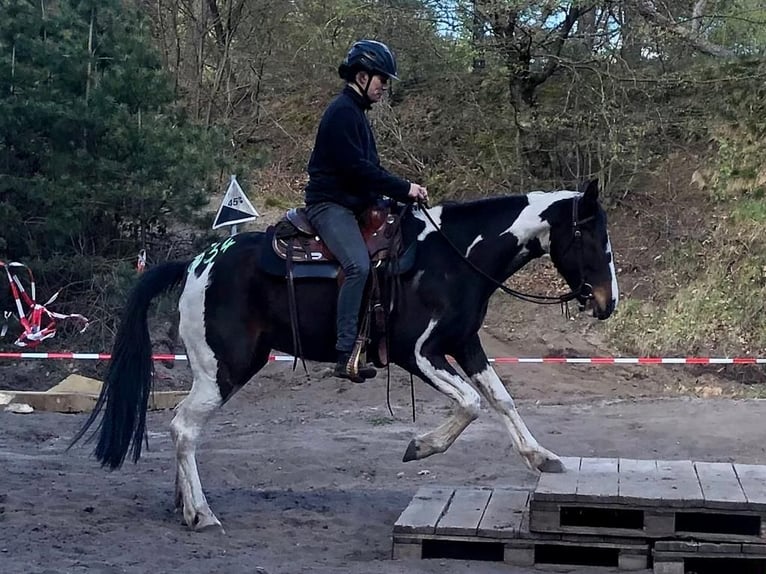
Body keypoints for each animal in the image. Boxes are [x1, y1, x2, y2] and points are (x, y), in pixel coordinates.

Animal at [72, 179, 620, 532]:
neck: (453, 257)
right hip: (225, 368)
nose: (606, 303)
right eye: (591, 237)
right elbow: (470, 404)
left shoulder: (464, 344)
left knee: (184, 430)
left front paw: (542, 457)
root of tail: (194, 264)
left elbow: (501, 399)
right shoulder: (416, 352)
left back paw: (183, 505)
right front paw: (419, 446)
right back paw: (201, 513)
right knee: (184, 428)